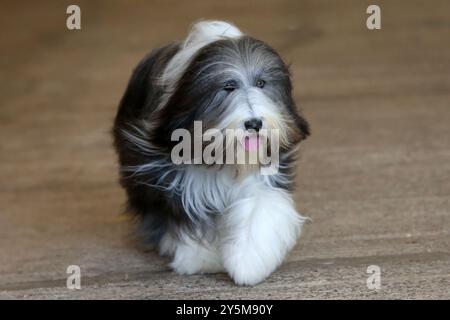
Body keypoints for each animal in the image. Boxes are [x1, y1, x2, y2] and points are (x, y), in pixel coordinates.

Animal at [112, 20, 310, 284]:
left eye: (261, 83)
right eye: (228, 86)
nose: (254, 123)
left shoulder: (263, 177)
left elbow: (259, 209)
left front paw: (247, 262)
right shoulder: (178, 182)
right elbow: (189, 219)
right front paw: (200, 259)